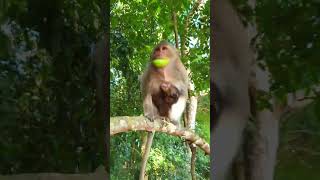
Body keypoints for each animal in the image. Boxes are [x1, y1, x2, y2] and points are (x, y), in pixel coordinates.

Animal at [139, 40, 189, 179]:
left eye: (164, 49)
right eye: (157, 49)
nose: (159, 53)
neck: (164, 70)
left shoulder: (181, 71)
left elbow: (184, 93)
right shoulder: (149, 71)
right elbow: (146, 92)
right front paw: (148, 114)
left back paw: (171, 118)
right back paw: (157, 116)